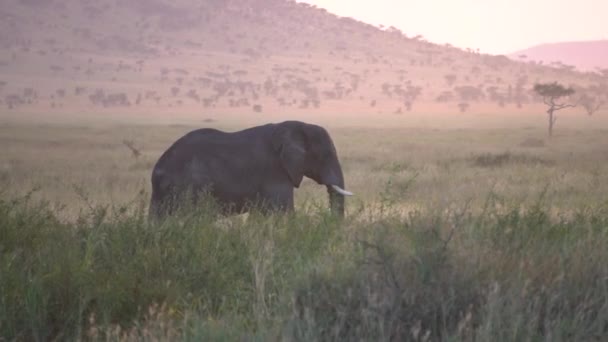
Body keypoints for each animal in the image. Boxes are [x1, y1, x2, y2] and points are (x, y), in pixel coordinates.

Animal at [149, 120, 354, 219]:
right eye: (325, 155)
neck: (297, 126)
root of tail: (157, 170)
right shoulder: (274, 170)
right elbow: (283, 211)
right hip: (186, 186)